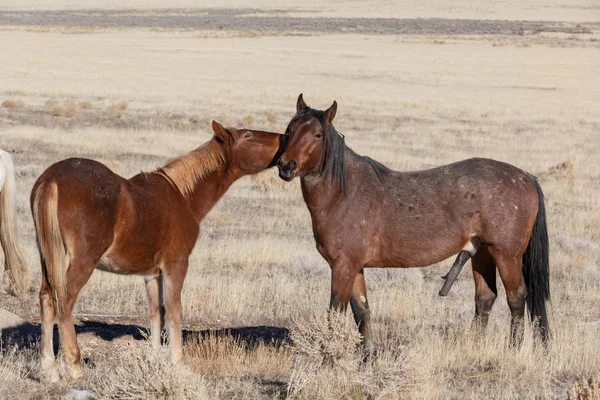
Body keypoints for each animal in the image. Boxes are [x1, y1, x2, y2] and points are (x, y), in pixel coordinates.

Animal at [26, 122, 284, 382]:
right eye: (247, 135)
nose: (283, 138)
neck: (183, 197)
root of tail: (52, 179)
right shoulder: (176, 266)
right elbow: (174, 311)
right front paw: (178, 363)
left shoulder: (151, 275)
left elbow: (156, 313)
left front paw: (154, 358)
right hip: (82, 262)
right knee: (64, 301)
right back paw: (74, 366)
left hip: (48, 256)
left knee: (46, 298)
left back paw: (49, 369)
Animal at [276, 94, 548, 356]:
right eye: (290, 130)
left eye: (317, 134)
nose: (286, 165)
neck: (344, 194)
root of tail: (525, 176)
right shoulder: (354, 267)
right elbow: (362, 310)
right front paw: (368, 356)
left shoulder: (343, 266)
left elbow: (335, 313)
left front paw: (328, 357)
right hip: (482, 253)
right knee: (485, 297)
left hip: (506, 254)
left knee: (516, 297)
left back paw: (513, 350)